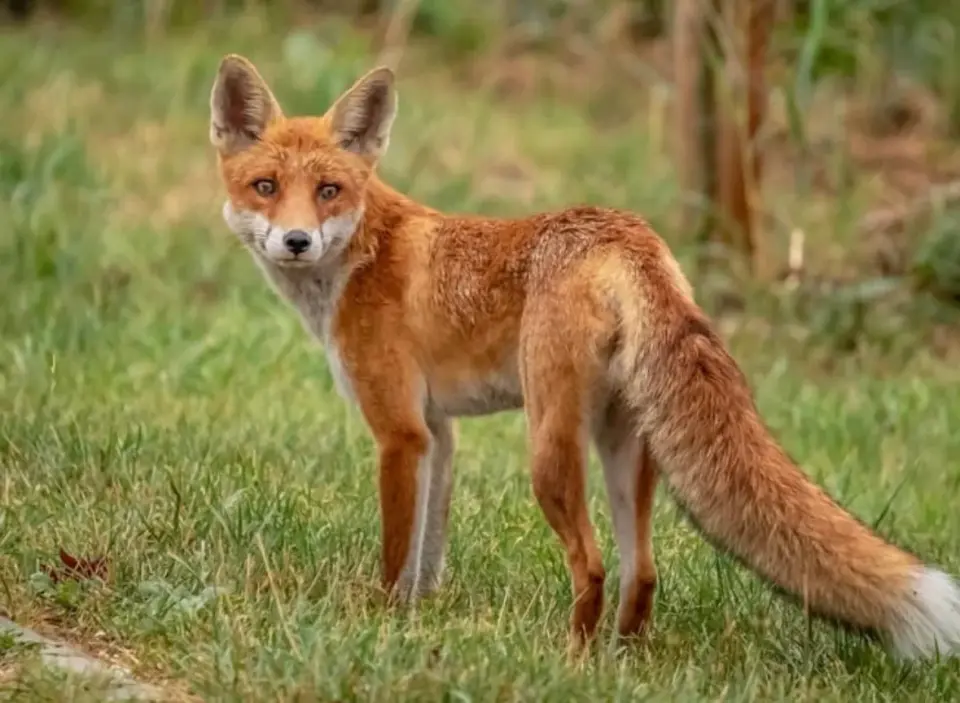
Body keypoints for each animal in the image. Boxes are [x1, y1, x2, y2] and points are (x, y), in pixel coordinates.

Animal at [208, 53, 960, 660]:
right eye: (266, 186)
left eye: (328, 190)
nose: (297, 241)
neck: (360, 257)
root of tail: (625, 232)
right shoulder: (438, 433)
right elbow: (428, 553)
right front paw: (420, 619)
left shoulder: (399, 431)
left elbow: (397, 554)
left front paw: (383, 624)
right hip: (625, 446)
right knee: (643, 570)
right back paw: (622, 660)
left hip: (549, 450)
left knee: (593, 564)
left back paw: (569, 658)